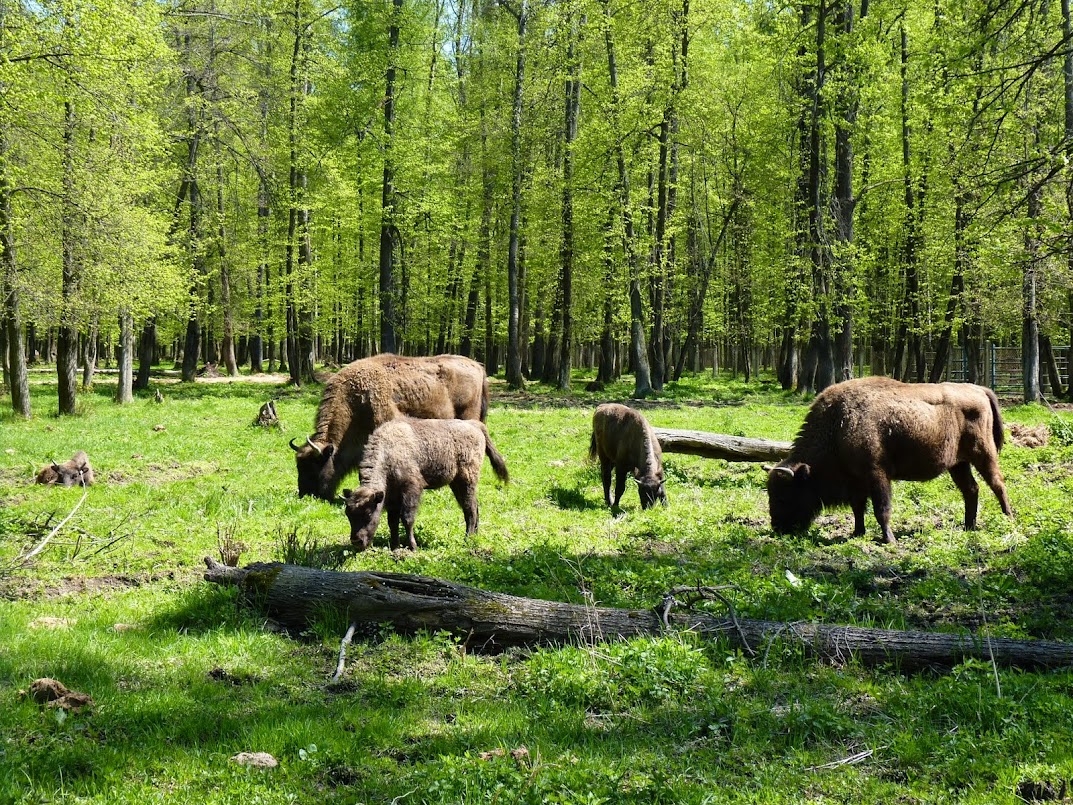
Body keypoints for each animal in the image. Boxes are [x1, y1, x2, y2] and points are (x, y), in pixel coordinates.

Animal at [345, 416, 508, 553]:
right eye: (348, 514)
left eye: (368, 513)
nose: (356, 541)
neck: (388, 453)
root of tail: (475, 425)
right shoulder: (391, 497)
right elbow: (392, 521)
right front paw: (395, 546)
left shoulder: (411, 490)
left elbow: (407, 519)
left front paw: (412, 546)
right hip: (457, 484)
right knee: (474, 507)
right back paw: (475, 536)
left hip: (467, 481)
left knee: (471, 510)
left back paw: (467, 539)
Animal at [768, 377, 1008, 543]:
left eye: (784, 495)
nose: (777, 527)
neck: (838, 425)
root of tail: (980, 389)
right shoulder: (856, 481)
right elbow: (858, 507)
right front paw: (858, 533)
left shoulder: (877, 475)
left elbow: (881, 509)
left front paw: (888, 539)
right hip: (958, 464)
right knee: (971, 489)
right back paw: (969, 526)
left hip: (983, 454)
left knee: (997, 484)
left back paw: (1008, 518)